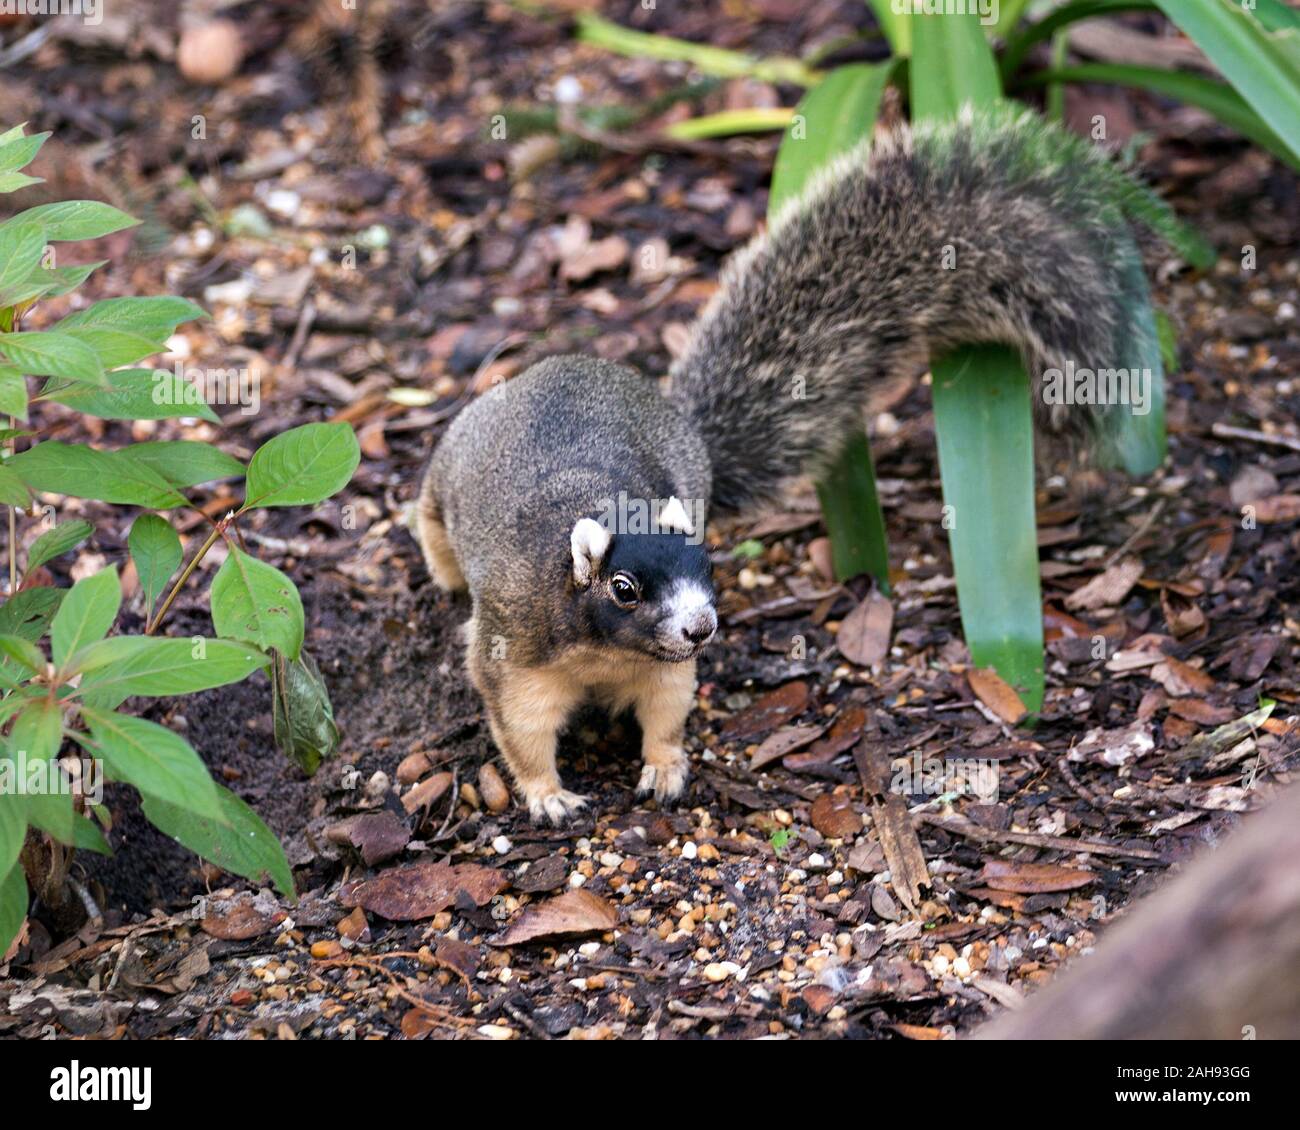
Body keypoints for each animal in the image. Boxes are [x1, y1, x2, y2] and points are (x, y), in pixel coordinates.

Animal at [416, 107, 1196, 821]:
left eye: (707, 562)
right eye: (625, 589)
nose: (701, 627)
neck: (607, 652)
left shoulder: (666, 671)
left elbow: (666, 711)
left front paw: (664, 768)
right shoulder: (513, 648)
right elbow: (521, 731)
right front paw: (548, 795)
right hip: (446, 471)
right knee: (429, 520)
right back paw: (444, 568)